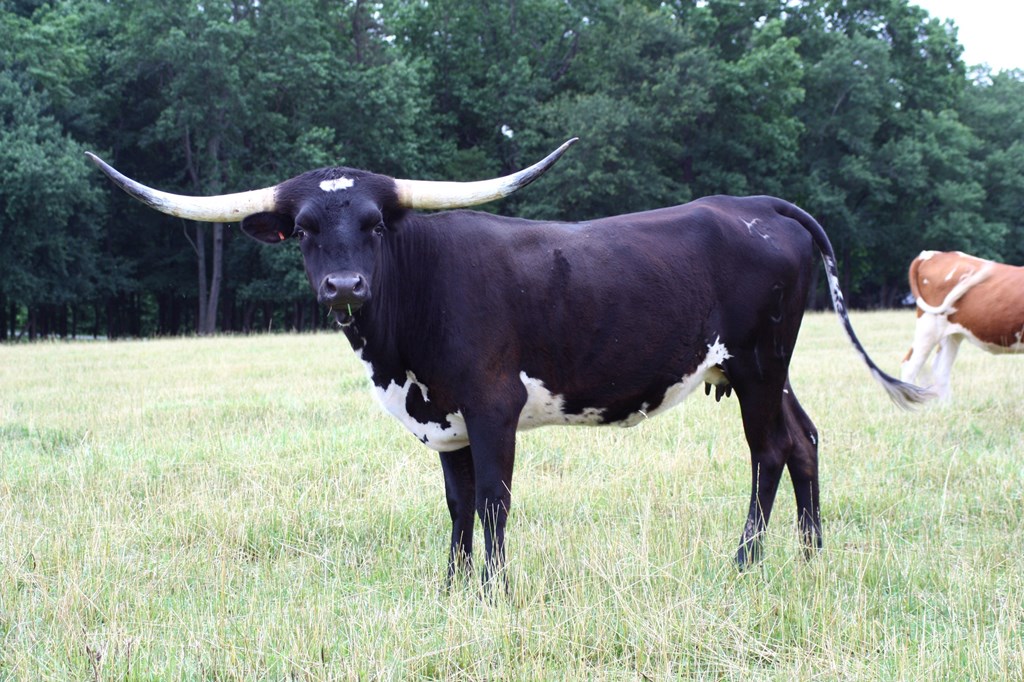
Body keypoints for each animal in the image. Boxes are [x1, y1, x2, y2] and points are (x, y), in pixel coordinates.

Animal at [87, 141, 931, 582]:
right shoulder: (445, 418)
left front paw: (492, 589)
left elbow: (493, 499)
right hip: (762, 367)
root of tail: (758, 204)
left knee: (768, 450)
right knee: (805, 438)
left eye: (374, 224)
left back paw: (746, 562)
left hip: (758, 360)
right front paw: (454, 585)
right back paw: (811, 555)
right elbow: (458, 504)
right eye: (302, 230)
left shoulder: (493, 404)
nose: (344, 287)